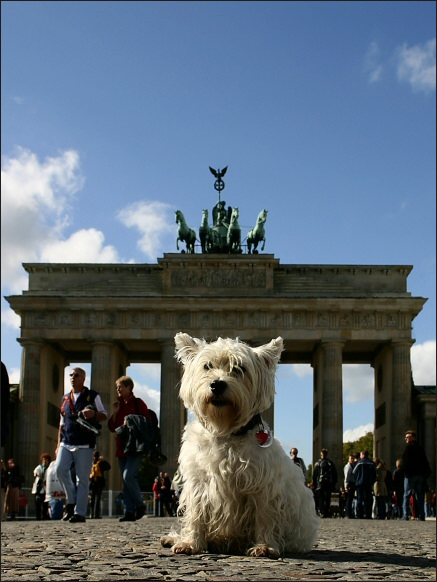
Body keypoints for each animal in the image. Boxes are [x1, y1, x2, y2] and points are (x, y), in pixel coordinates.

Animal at [162, 336, 318, 560]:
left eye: (239, 368)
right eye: (207, 366)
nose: (217, 384)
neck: (225, 431)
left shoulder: (262, 485)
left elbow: (265, 516)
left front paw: (264, 547)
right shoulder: (199, 482)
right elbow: (195, 513)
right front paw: (190, 543)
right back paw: (172, 538)